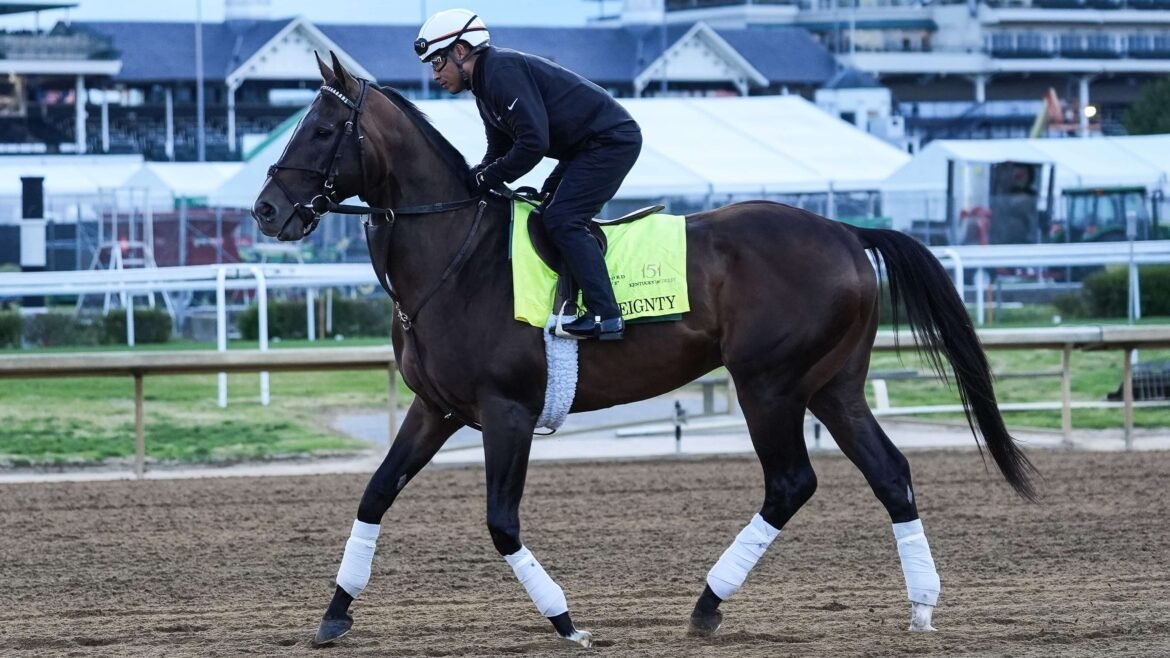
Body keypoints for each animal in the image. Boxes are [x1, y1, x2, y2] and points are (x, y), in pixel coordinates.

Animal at [252, 53, 1036, 648]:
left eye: (323, 128)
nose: (265, 210)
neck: (456, 256)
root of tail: (846, 232)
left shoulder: (507, 412)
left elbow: (501, 523)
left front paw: (566, 621)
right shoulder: (436, 409)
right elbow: (376, 492)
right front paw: (333, 614)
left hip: (769, 384)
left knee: (791, 483)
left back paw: (708, 604)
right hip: (833, 387)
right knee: (891, 474)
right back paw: (922, 606)